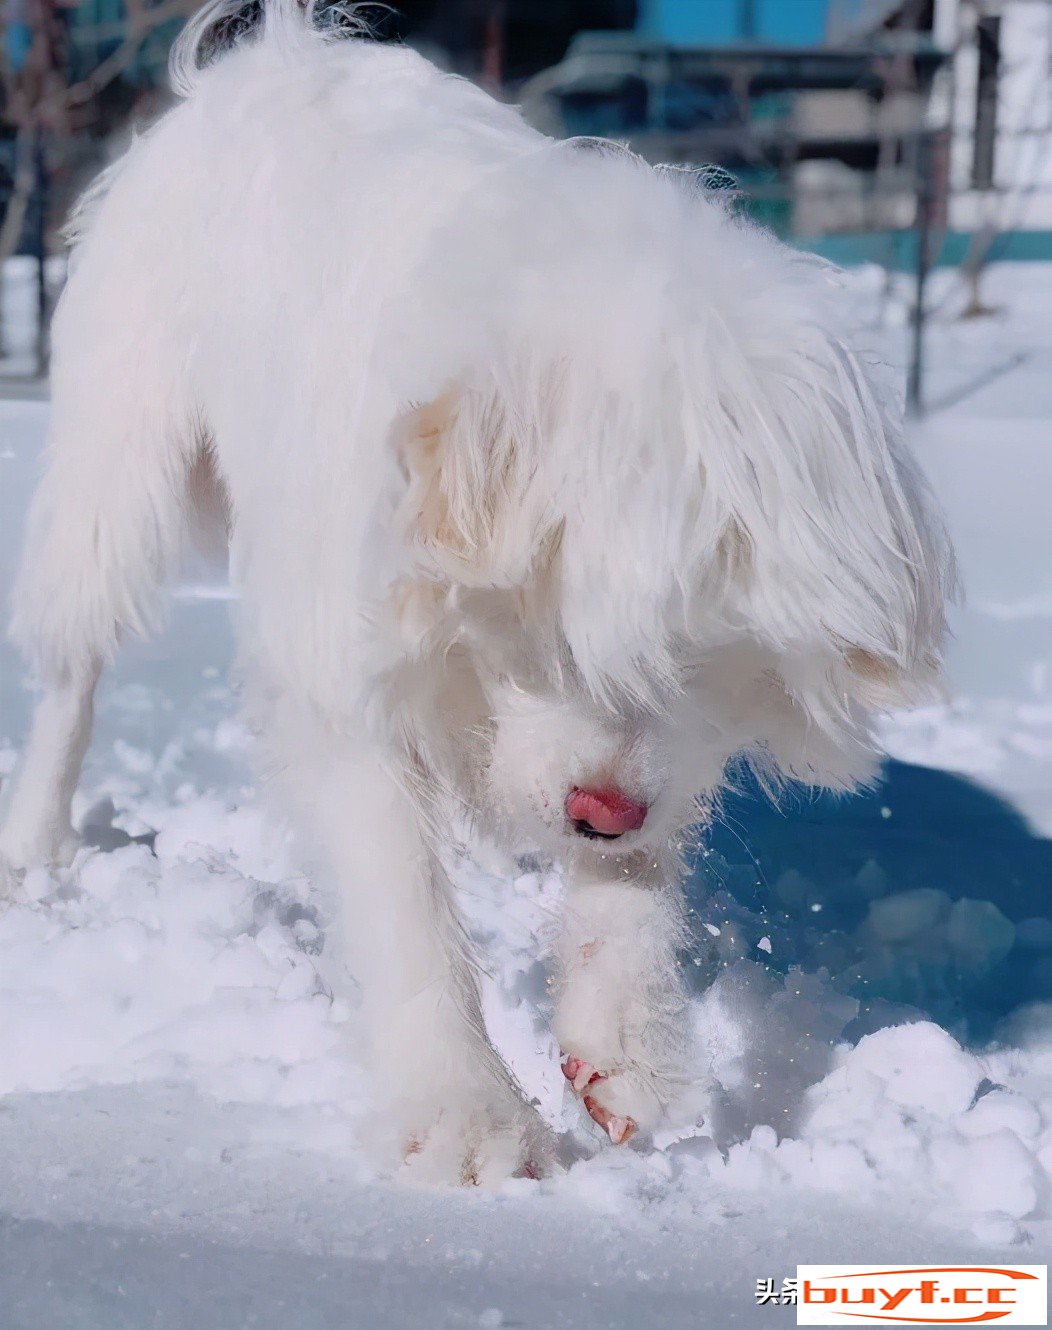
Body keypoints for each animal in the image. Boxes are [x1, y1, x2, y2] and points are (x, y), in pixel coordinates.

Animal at [0, 0, 952, 1186]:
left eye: (711, 656)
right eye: (555, 638)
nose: (596, 813)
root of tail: (272, 58)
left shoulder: (649, 767)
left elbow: (636, 874)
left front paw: (622, 1037)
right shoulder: (350, 679)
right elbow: (405, 906)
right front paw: (466, 1116)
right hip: (118, 471)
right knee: (72, 672)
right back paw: (37, 848)